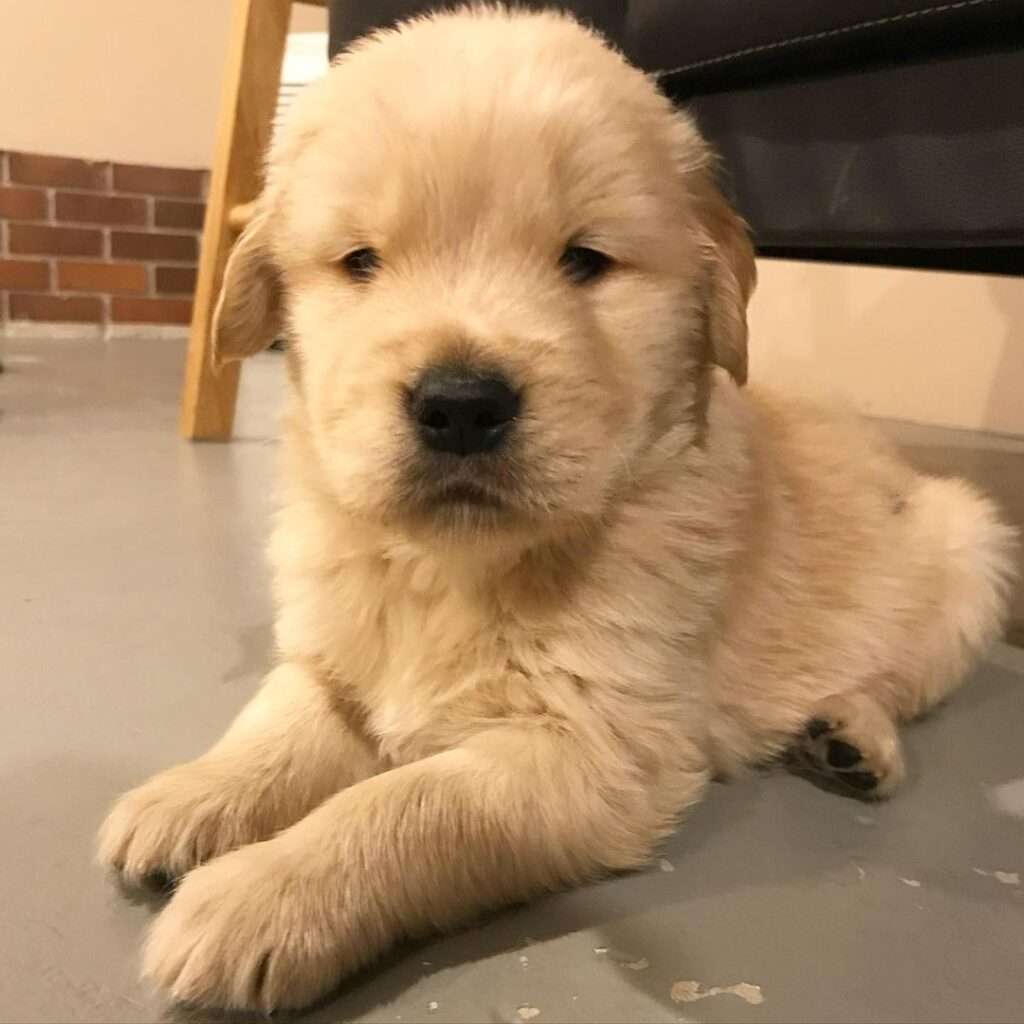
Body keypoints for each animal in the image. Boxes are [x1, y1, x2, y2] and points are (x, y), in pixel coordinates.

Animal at [96, 6, 1015, 1015]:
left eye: (585, 260)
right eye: (360, 262)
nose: (461, 404)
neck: (450, 568)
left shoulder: (593, 751)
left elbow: (406, 806)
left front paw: (264, 896)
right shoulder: (331, 647)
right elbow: (281, 720)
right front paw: (195, 794)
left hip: (970, 554)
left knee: (903, 682)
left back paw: (853, 737)